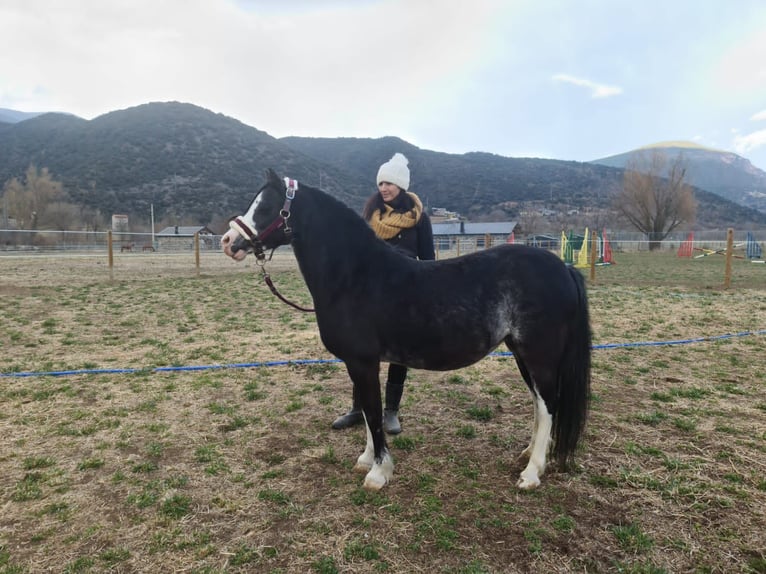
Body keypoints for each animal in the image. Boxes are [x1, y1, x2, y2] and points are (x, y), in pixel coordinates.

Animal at [222, 169, 592, 492]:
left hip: (540, 355)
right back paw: (528, 455)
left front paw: (378, 473)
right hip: (521, 353)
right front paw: (366, 458)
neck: (355, 277)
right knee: (539, 404)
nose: (229, 241)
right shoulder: (361, 364)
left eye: (266, 207)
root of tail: (563, 268)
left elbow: (373, 412)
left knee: (548, 404)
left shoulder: (363, 361)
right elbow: (367, 413)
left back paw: (531, 474)